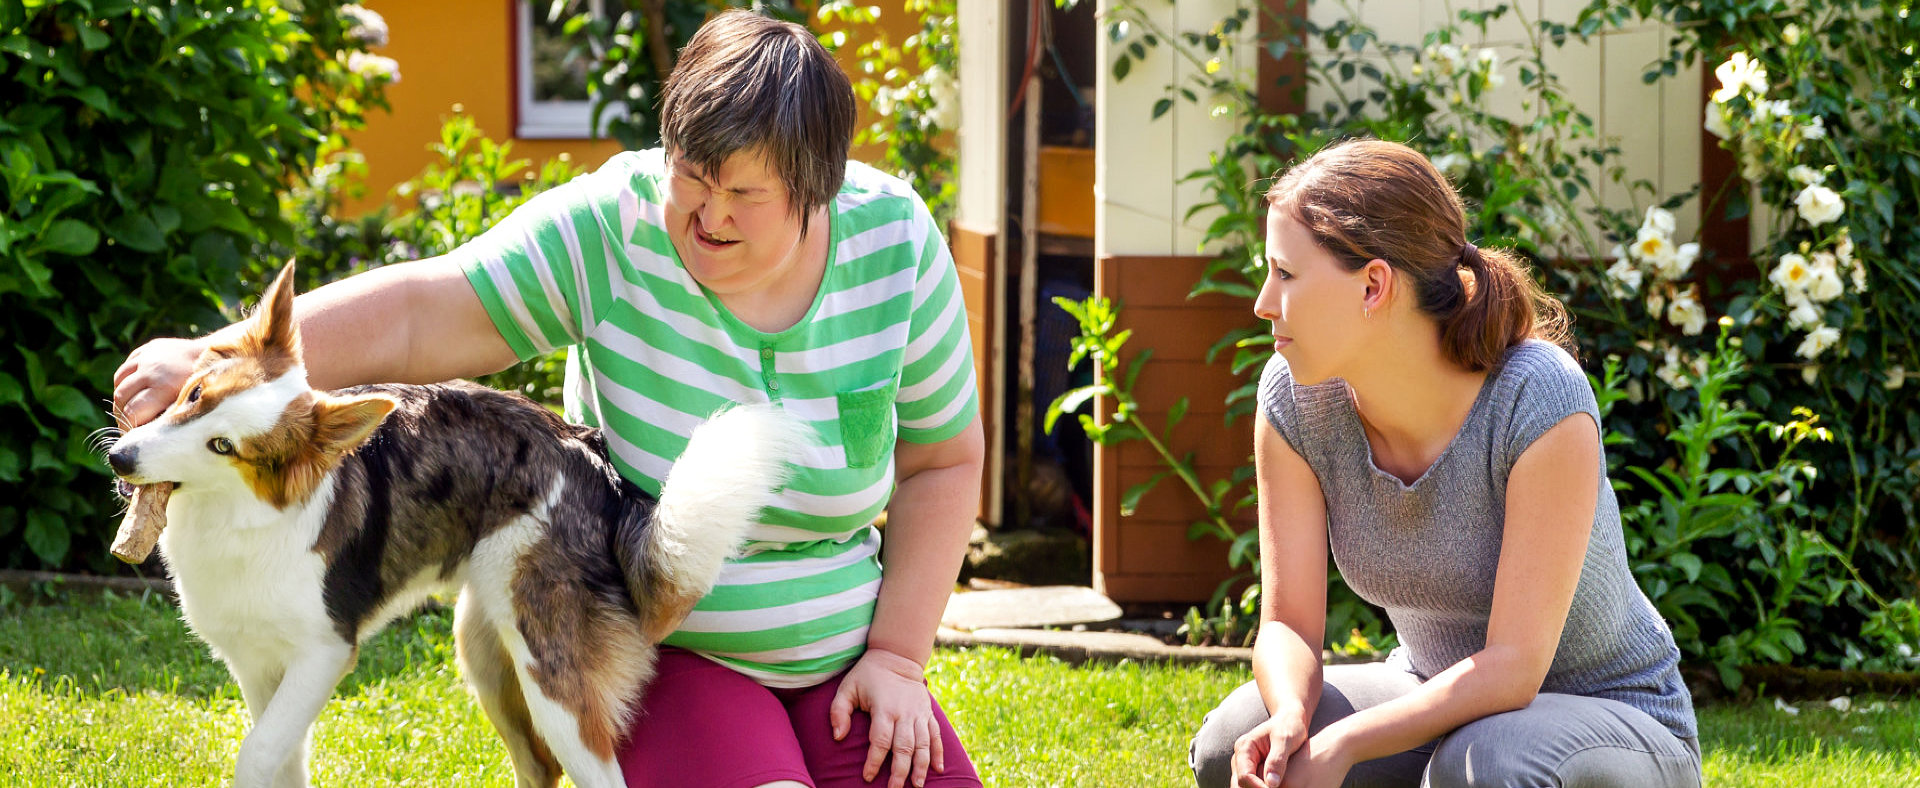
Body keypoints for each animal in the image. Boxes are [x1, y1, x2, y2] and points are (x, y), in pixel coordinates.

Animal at [105, 261, 810, 784]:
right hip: (484, 651)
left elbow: (254, 756)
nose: (120, 458)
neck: (237, 516)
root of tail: (597, 470)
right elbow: (278, 761)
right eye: (195, 395)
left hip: (551, 675)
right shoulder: (256, 666)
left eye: (225, 446)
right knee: (537, 768)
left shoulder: (324, 651)